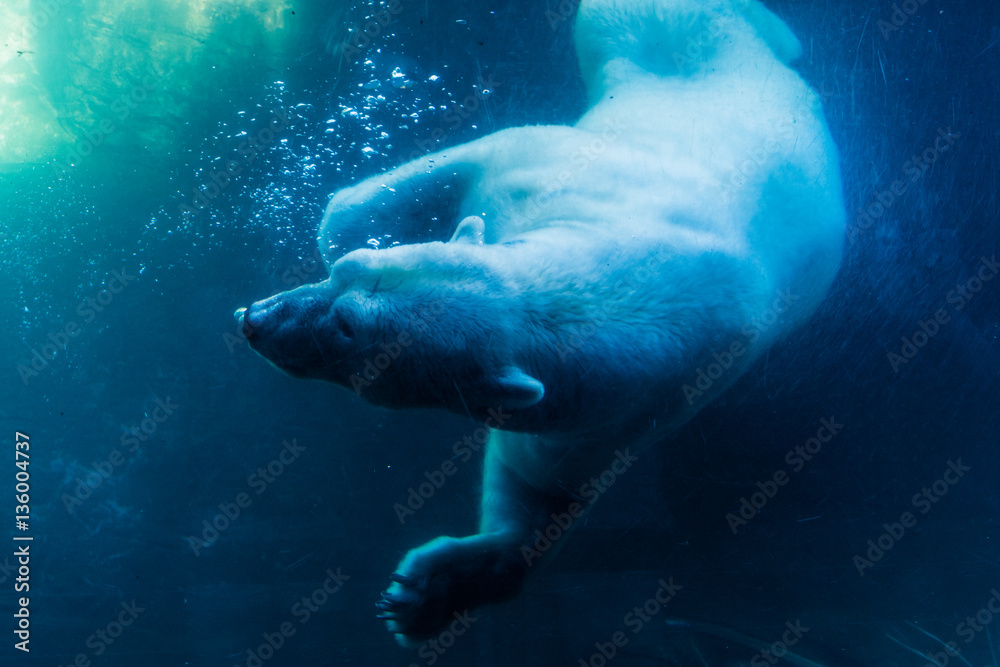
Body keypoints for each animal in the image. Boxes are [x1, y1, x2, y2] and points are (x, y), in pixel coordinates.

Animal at [240, 0, 844, 648]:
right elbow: (477, 157)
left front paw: (422, 597)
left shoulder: (617, 411)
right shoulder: (559, 178)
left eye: (349, 329)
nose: (256, 318)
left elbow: (536, 485)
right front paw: (341, 228)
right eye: (348, 275)